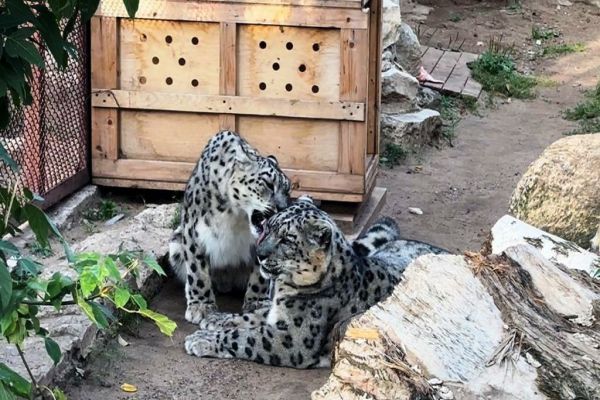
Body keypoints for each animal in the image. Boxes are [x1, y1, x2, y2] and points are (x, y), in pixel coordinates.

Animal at [169, 131, 290, 324]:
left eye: (288, 189)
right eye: (268, 184)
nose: (283, 207)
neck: (235, 214)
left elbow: (260, 274)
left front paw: (257, 302)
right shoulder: (192, 231)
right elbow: (197, 271)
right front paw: (201, 306)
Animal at [185, 195, 448, 368]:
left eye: (287, 239)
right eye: (268, 227)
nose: (259, 254)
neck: (282, 289)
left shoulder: (292, 339)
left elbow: (243, 338)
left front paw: (201, 340)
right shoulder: (276, 314)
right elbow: (250, 317)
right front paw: (216, 319)